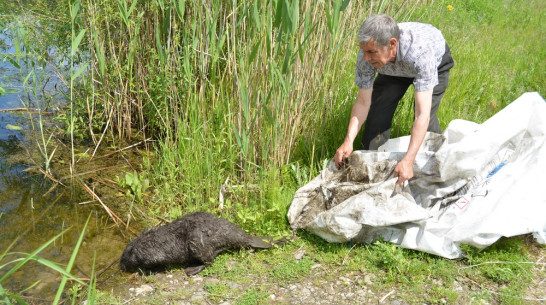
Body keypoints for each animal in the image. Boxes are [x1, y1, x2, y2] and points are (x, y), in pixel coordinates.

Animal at [120, 211, 284, 274]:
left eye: (124, 257)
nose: (121, 267)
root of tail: (248, 238)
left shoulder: (154, 254)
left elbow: (158, 263)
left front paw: (147, 271)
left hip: (197, 245)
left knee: (209, 261)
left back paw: (191, 269)